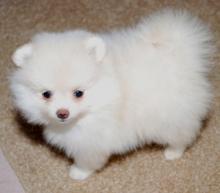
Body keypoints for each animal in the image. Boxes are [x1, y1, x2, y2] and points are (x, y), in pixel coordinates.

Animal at [9, 9, 213, 180]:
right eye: (46, 94)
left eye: (78, 93)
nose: (62, 113)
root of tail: (181, 54)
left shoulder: (91, 141)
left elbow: (87, 160)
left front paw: (78, 172)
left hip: (170, 117)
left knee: (183, 134)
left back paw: (173, 152)